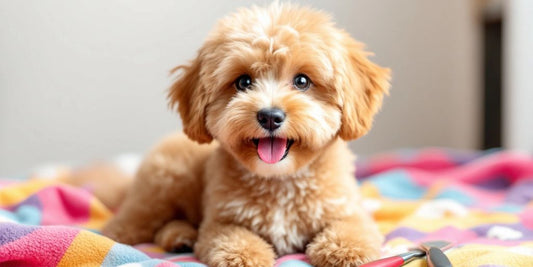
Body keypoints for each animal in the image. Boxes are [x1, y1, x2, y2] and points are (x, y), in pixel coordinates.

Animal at [102, 2, 388, 267]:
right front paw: (247, 255)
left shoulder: (348, 210)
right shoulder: (220, 221)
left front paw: (344, 250)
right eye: (243, 82)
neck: (279, 180)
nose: (270, 116)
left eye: (302, 81)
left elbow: (354, 230)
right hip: (163, 185)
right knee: (134, 218)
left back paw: (180, 237)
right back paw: (119, 236)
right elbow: (234, 240)